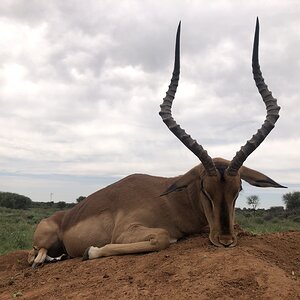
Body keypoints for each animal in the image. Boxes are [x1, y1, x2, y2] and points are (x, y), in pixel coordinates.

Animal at [28, 18, 286, 268]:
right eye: (205, 189)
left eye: (238, 189)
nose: (225, 240)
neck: (172, 201)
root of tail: (61, 217)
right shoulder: (125, 232)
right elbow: (162, 238)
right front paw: (90, 251)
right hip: (44, 242)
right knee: (34, 256)